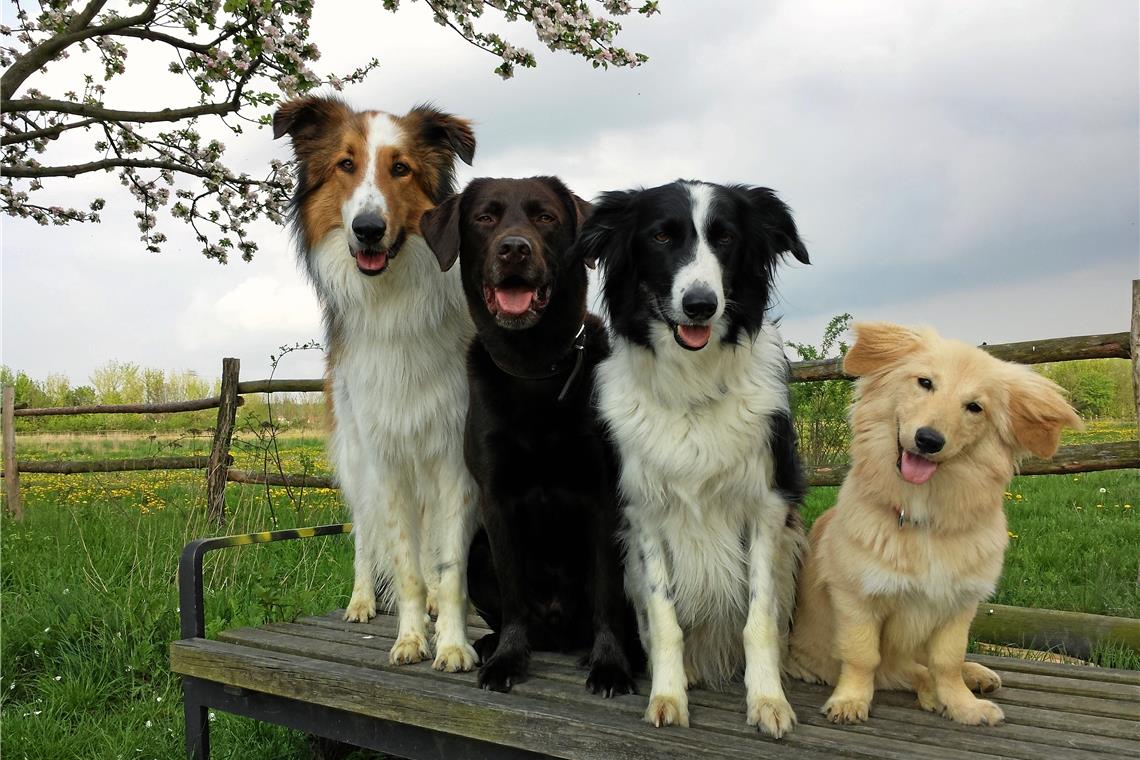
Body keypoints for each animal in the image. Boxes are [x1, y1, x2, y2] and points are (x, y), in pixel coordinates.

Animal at [275, 97, 481, 674]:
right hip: (356, 454)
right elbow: (404, 562)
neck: (394, 301)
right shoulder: (385, 456)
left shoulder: (453, 455)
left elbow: (449, 566)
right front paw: (410, 639)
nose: (368, 229)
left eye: (401, 168)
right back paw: (362, 601)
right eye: (346, 165)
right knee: (366, 535)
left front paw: (452, 642)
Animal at [579, 181, 811, 738]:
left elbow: (758, 620)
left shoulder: (767, 509)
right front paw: (667, 696)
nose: (701, 305)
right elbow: (666, 620)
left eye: (725, 238)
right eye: (662, 236)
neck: (693, 384)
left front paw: (767, 700)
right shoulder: (643, 514)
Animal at [788, 321, 1080, 724]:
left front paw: (962, 705)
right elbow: (864, 657)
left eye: (975, 407)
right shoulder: (857, 599)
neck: (923, 515)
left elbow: (947, 662)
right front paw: (850, 701)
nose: (929, 440)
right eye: (925, 382)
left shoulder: (958, 605)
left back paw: (975, 676)